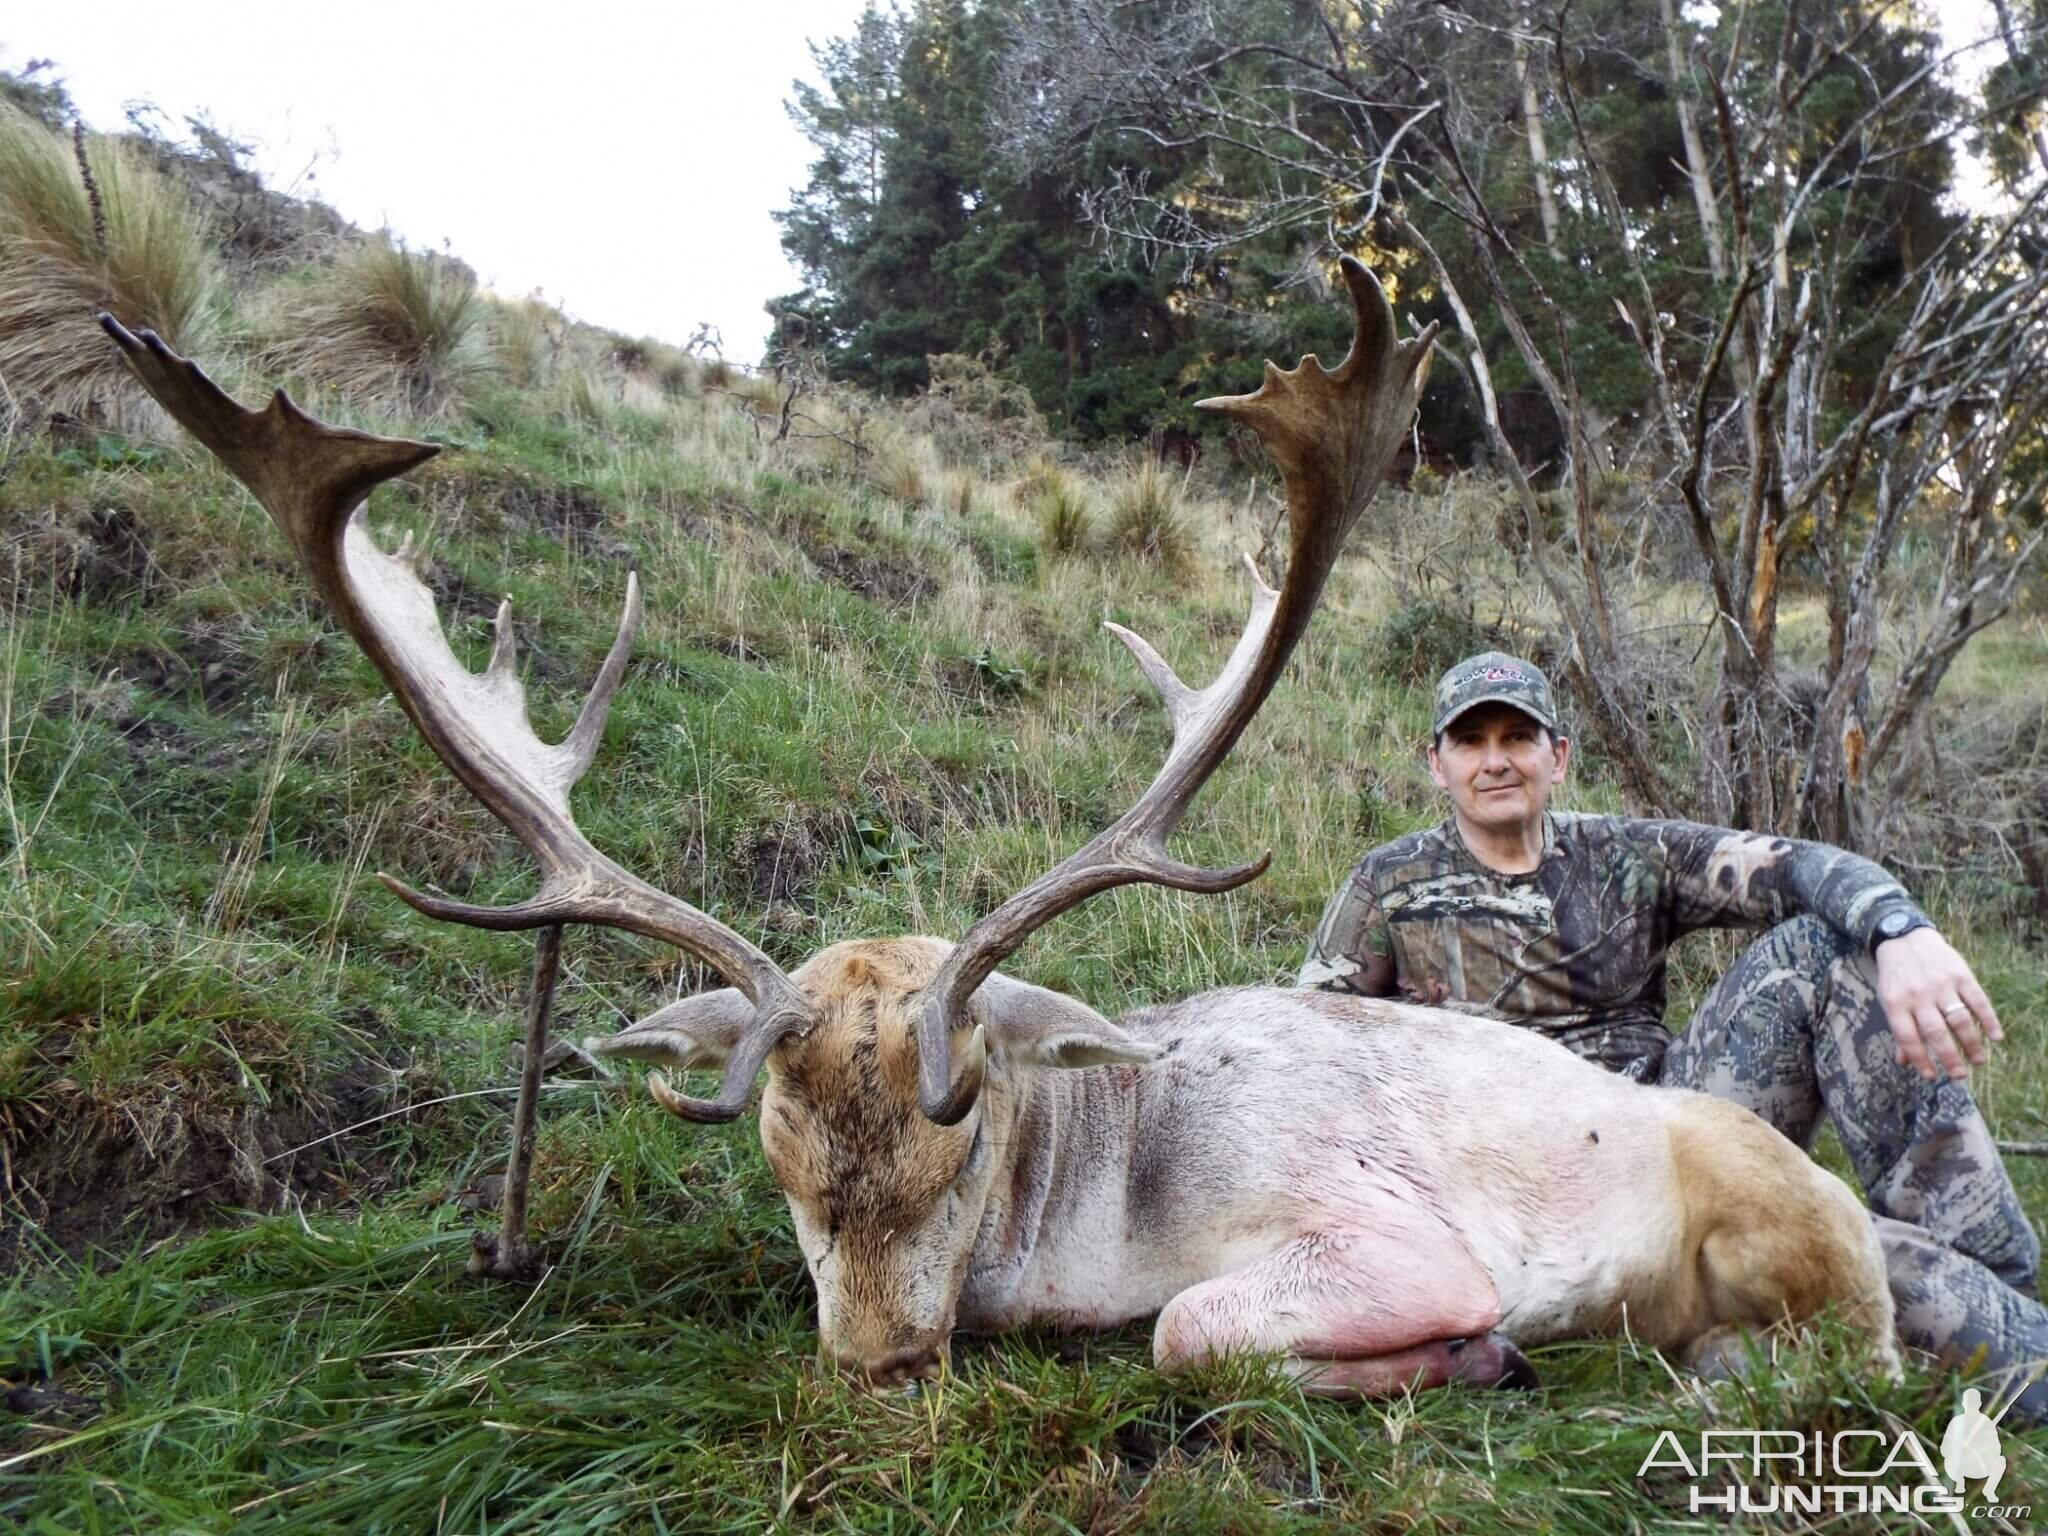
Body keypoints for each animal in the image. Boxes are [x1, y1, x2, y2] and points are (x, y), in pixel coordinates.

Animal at [103, 259, 1892, 1400]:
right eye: (777, 1160)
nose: (881, 1360)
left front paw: (1470, 1347)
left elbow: (1183, 1334)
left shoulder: (1385, 1233)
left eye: (962, 1140)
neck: (1098, 1207)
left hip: (1799, 1212)